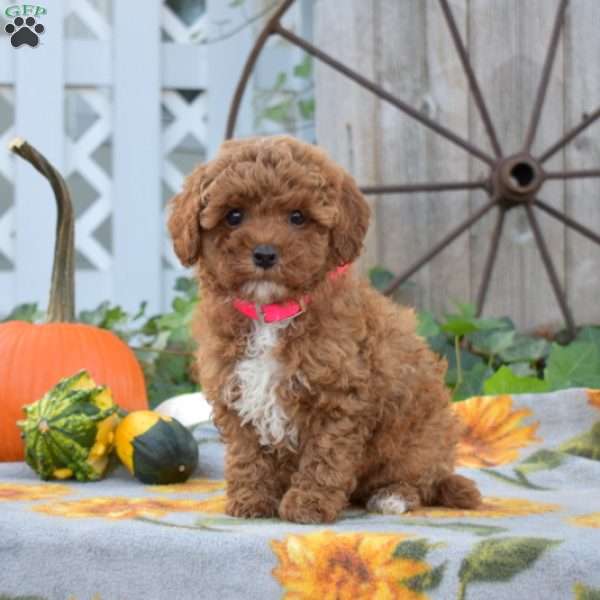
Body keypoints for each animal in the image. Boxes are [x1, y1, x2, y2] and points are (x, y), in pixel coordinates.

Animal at [169, 134, 482, 524]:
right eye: (234, 215)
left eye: (297, 217)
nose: (265, 254)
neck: (271, 315)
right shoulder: (237, 393)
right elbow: (247, 454)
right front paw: (251, 499)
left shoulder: (339, 397)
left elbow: (325, 456)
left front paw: (308, 505)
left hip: (420, 441)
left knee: (420, 482)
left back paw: (393, 496)